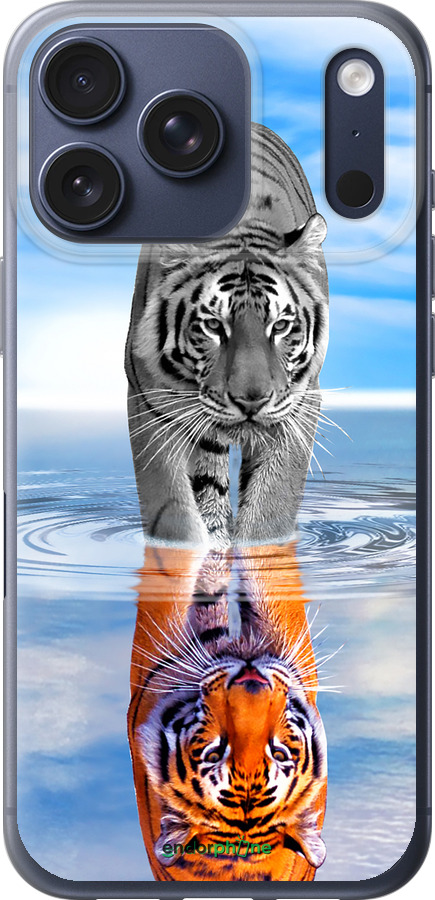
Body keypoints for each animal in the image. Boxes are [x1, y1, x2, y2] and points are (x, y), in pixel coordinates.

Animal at [125, 122, 329, 548]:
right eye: (214, 326)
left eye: (280, 326)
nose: (251, 401)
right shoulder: (149, 401)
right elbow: (173, 511)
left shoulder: (300, 404)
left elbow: (271, 508)